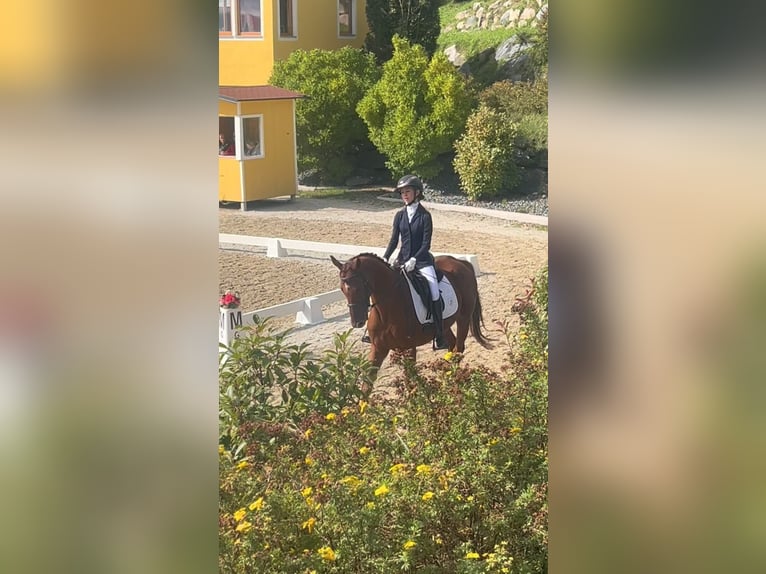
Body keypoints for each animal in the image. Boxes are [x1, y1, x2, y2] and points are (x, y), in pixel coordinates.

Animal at [332, 253, 492, 378]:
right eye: (342, 289)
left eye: (358, 288)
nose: (357, 322)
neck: (386, 310)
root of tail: (462, 263)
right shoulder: (378, 347)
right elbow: (367, 384)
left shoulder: (408, 348)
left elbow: (412, 380)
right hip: (445, 325)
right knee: (451, 345)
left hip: (463, 318)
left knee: (459, 348)